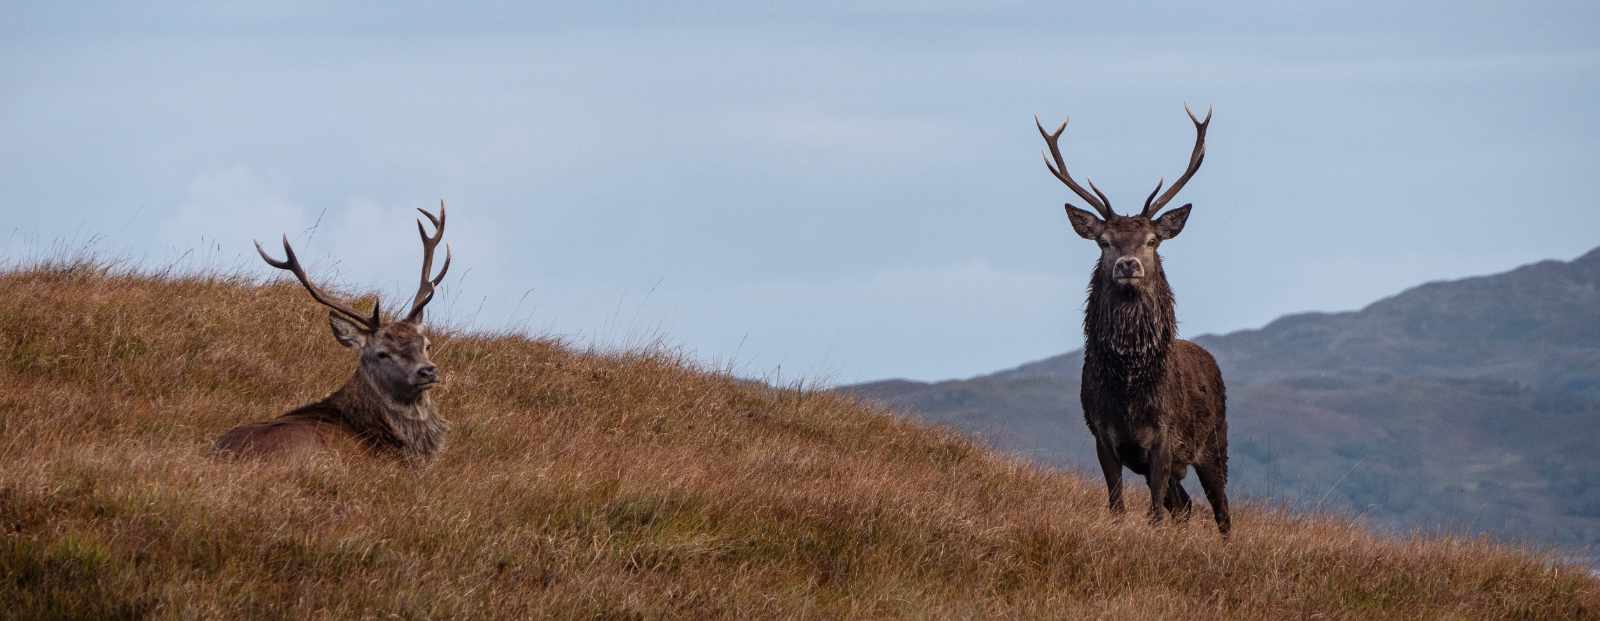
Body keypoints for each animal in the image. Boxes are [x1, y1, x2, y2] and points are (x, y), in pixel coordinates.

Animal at [1035, 106, 1231, 535]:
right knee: (1185, 505)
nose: (1128, 265)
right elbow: (1117, 506)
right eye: (1104, 242)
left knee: (1222, 510)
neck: (1129, 388)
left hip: (1214, 442)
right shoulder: (1102, 434)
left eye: (1152, 241)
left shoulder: (1164, 437)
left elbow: (1154, 511)